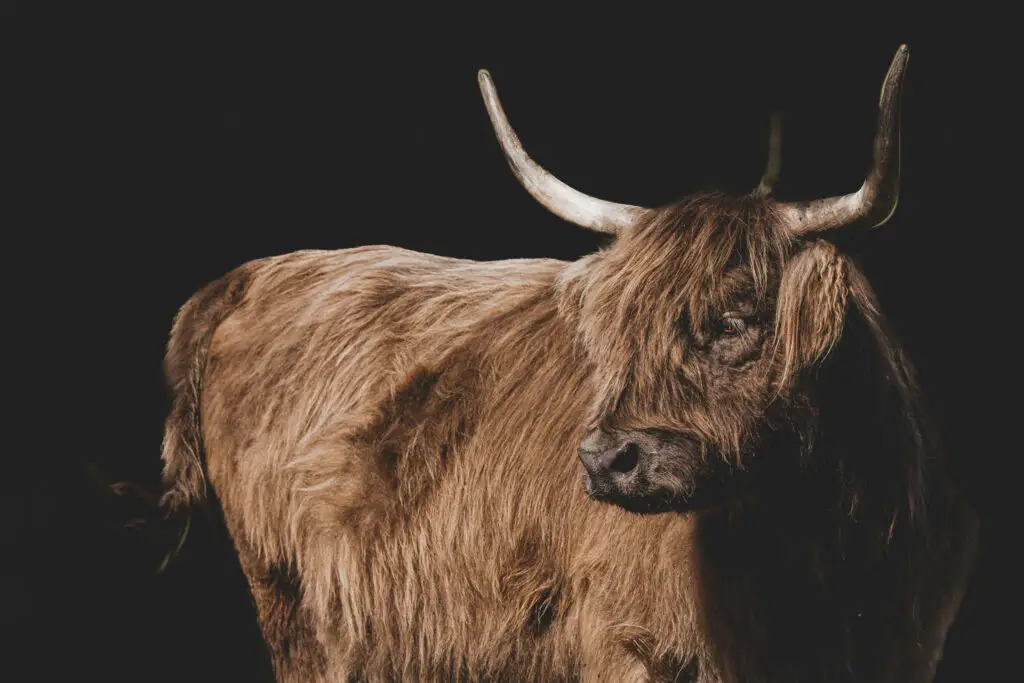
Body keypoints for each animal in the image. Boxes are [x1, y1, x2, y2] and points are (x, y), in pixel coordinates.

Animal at [157, 45, 978, 682]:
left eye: (734, 320)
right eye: (613, 331)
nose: (607, 459)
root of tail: (251, 274)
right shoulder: (630, 644)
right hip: (294, 610)